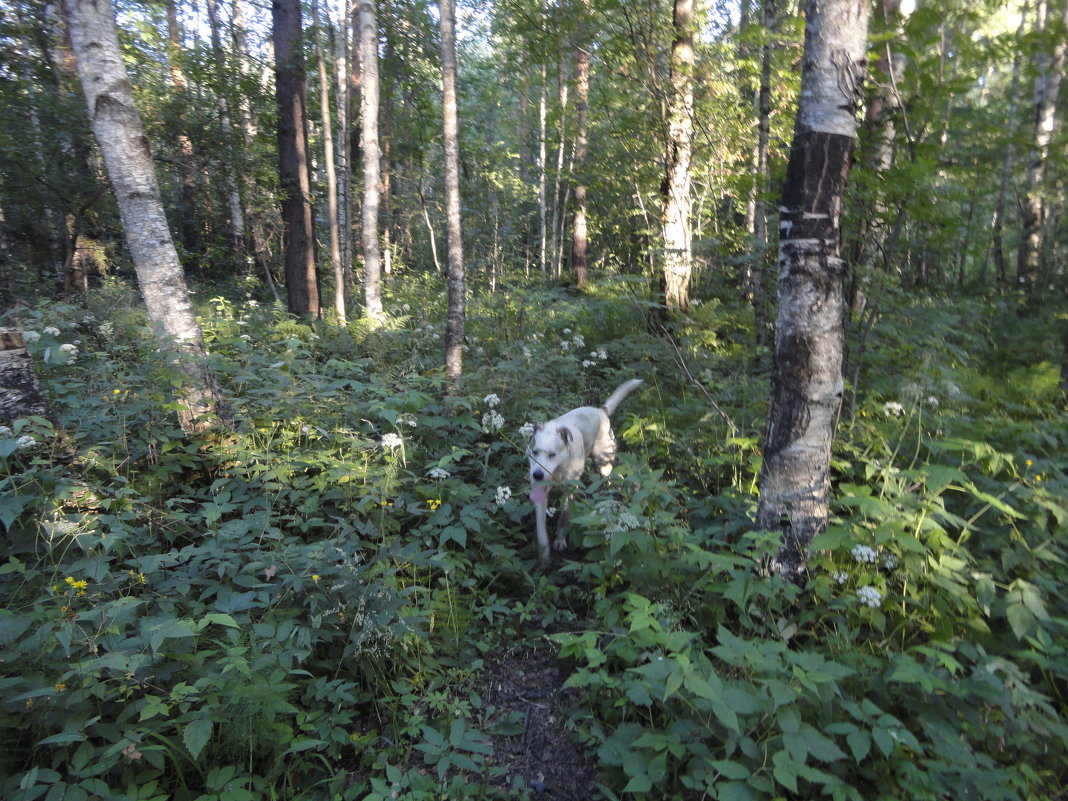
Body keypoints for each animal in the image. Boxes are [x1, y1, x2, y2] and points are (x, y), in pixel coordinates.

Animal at [527, 380, 640, 563]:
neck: (560, 468)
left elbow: (564, 517)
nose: (537, 475)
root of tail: (601, 411)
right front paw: (544, 555)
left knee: (611, 479)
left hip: (604, 463)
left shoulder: (570, 490)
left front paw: (560, 540)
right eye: (535, 452)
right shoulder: (540, 492)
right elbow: (541, 528)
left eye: (552, 454)